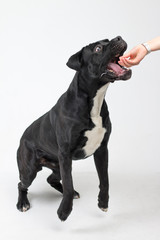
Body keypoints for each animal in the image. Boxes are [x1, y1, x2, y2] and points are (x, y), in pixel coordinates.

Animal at [16, 36, 132, 221]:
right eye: (98, 49)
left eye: (108, 40)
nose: (119, 37)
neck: (93, 101)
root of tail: (22, 137)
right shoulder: (65, 154)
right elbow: (69, 184)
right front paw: (64, 211)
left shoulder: (102, 150)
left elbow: (104, 179)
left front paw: (103, 202)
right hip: (30, 169)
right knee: (22, 184)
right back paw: (22, 203)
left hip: (57, 166)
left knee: (52, 179)